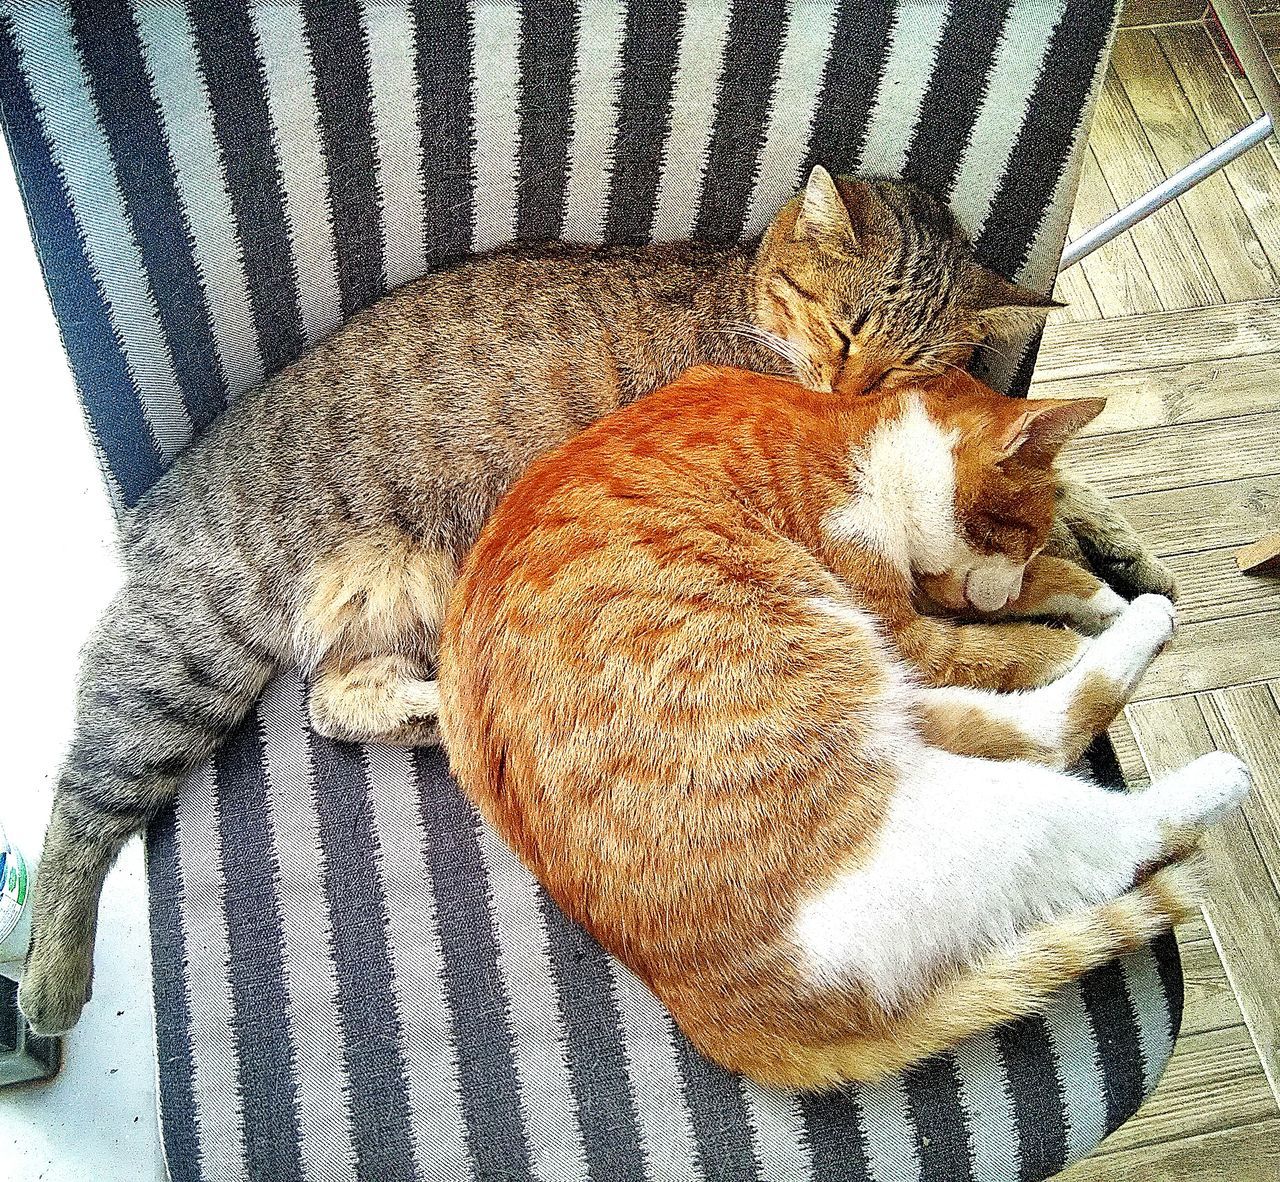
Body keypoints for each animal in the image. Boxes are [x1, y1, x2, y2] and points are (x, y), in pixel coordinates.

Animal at [20, 163, 1172, 1034]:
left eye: (908, 361)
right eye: (845, 332)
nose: (847, 393)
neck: (747, 306)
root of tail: (156, 504)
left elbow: (1059, 498)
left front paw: (1116, 544)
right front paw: (1080, 599)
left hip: (382, 615)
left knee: (331, 702)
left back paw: (433, 711)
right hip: (186, 652)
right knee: (86, 796)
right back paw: (50, 977)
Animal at [435, 366, 1244, 1091]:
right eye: (1020, 532)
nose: (1009, 582)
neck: (855, 439)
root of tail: (714, 1015)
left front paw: (1090, 592)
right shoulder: (907, 630)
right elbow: (1019, 649)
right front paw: (1084, 618)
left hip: (890, 701)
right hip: (932, 765)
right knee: (1093, 788)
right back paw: (1195, 733)